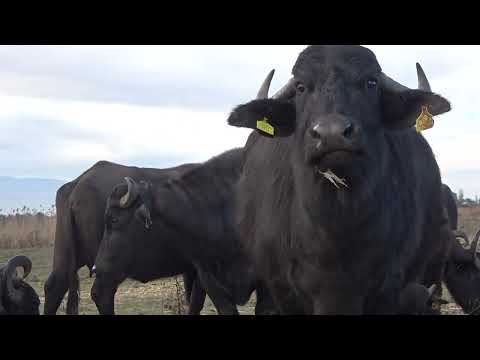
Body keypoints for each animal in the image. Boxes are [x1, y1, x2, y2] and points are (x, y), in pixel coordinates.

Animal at [43, 159, 202, 314]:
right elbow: (196, 301)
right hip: (109, 267)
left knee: (55, 285)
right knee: (102, 293)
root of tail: (78, 185)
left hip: (67, 253)